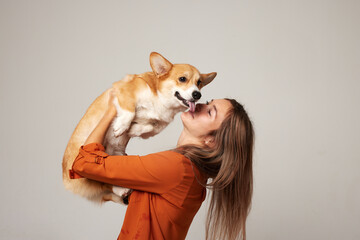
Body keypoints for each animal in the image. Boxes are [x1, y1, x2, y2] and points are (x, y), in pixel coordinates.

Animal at [62, 52, 217, 204]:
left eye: (199, 82)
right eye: (182, 79)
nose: (197, 94)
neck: (161, 100)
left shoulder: (159, 124)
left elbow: (149, 126)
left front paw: (131, 130)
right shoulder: (124, 91)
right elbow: (130, 111)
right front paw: (121, 126)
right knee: (99, 181)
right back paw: (120, 189)